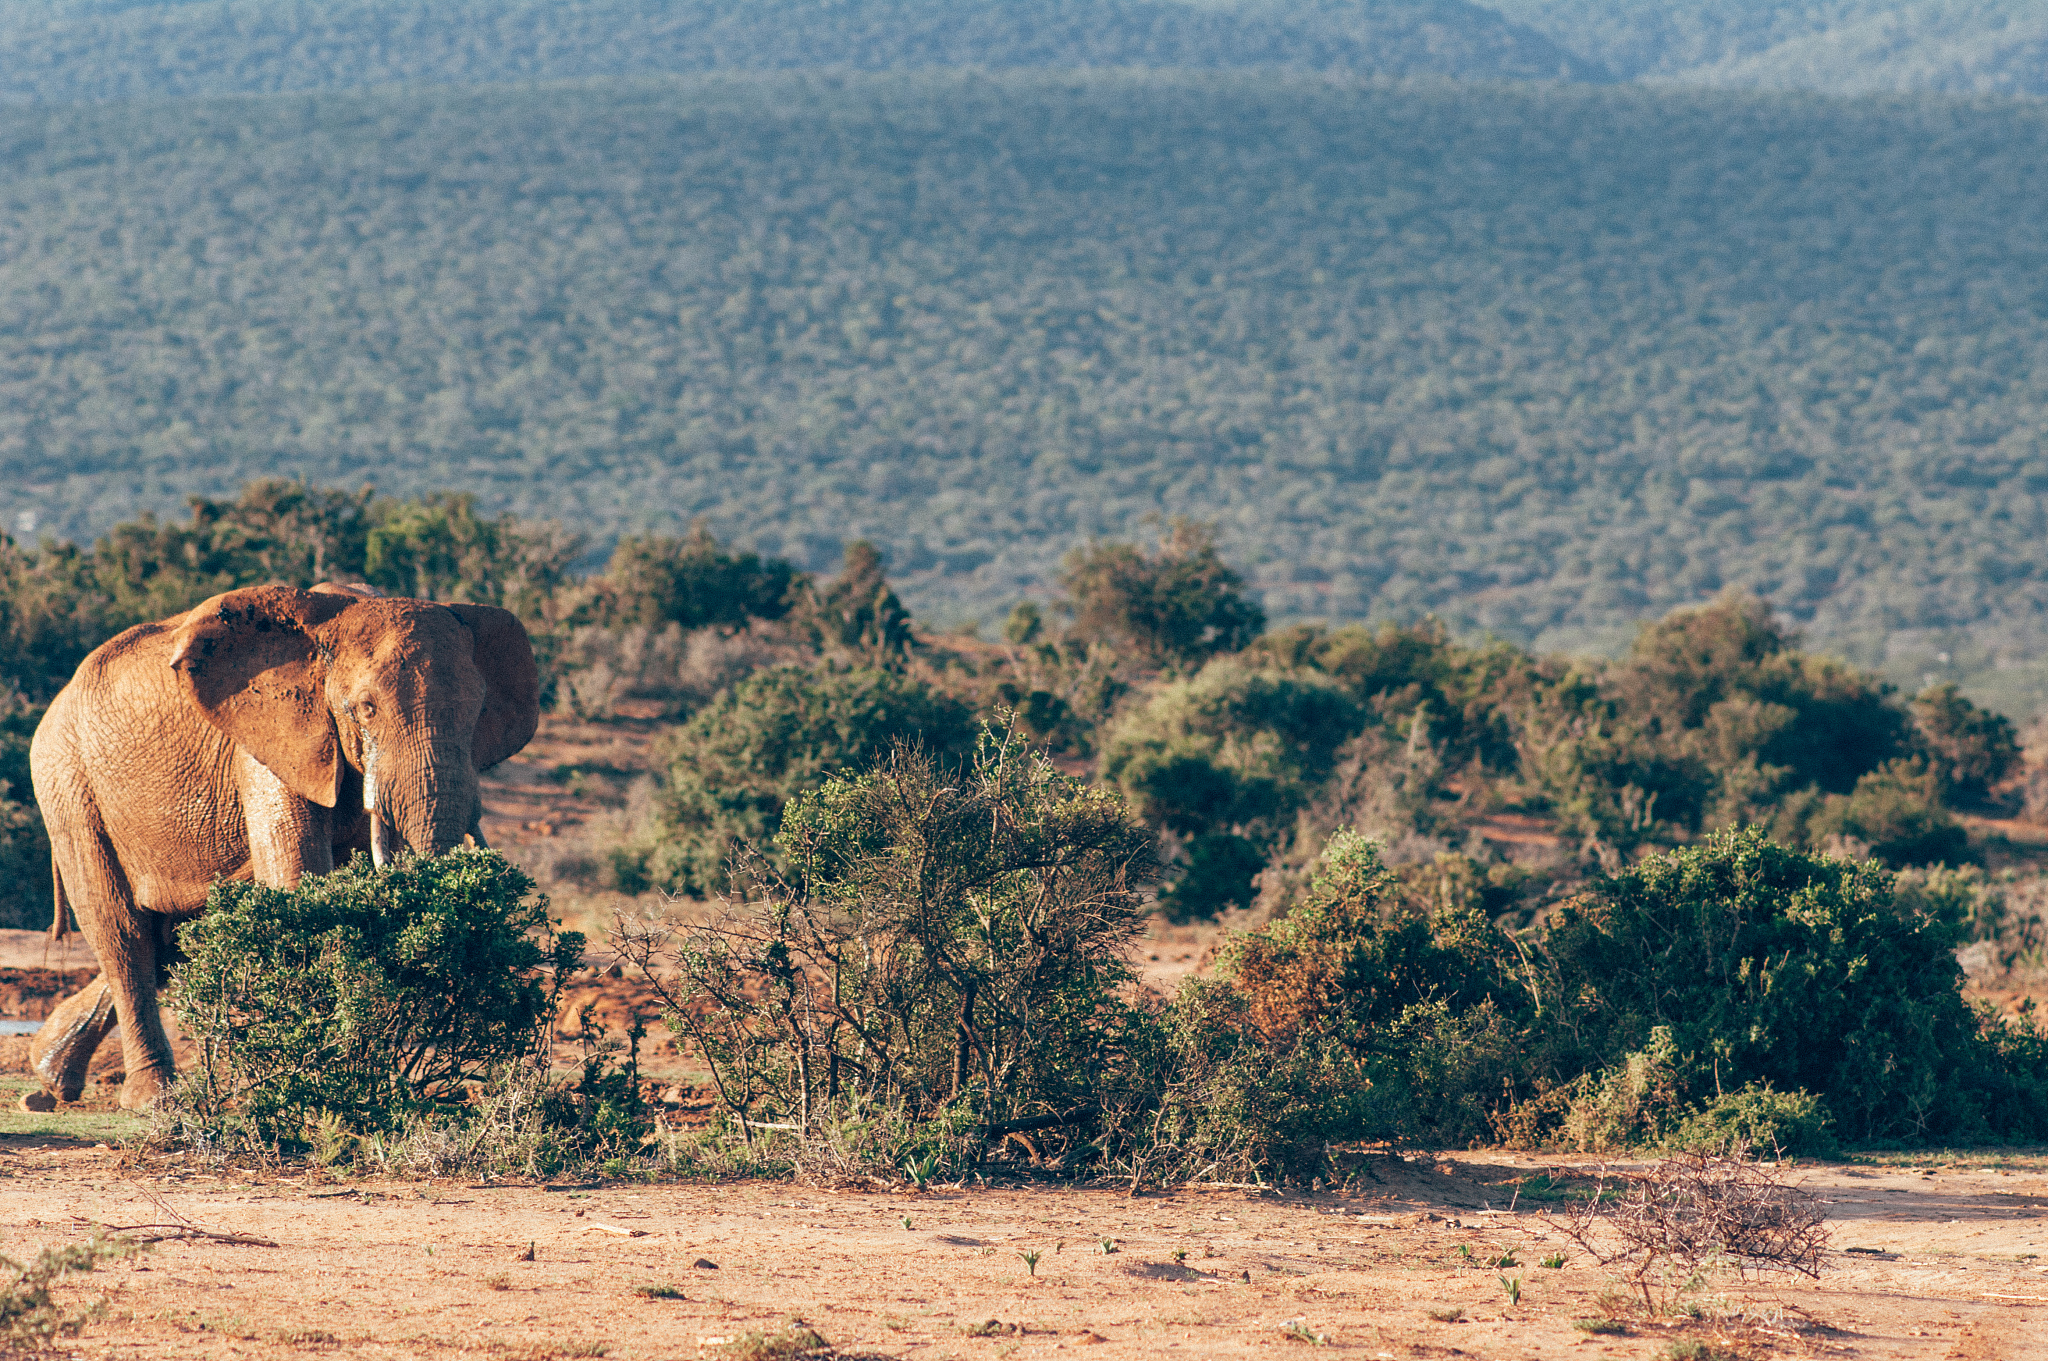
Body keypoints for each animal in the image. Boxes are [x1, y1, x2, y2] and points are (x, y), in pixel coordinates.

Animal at [25, 581, 539, 1109]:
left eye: (478, 711)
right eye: (366, 708)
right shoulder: (269, 739)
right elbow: (298, 882)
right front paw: (325, 1080)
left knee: (169, 940)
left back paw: (50, 1074)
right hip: (69, 785)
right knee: (123, 934)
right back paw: (153, 1099)